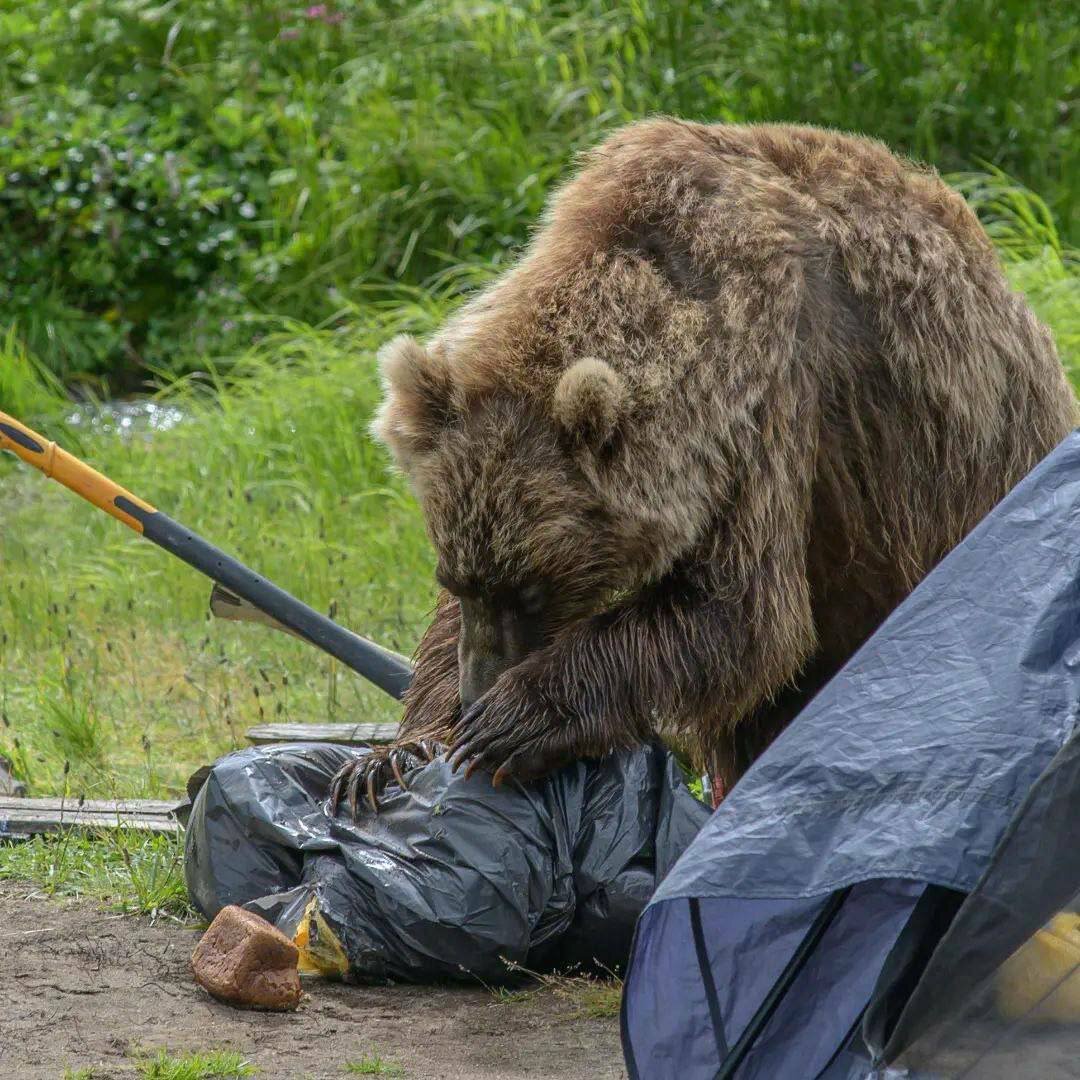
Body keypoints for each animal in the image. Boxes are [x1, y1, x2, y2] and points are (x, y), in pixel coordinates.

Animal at [326, 118, 1071, 812]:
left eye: (534, 589)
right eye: (457, 577)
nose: (476, 695)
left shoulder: (772, 412)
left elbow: (741, 615)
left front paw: (511, 721)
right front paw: (393, 755)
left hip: (959, 494)